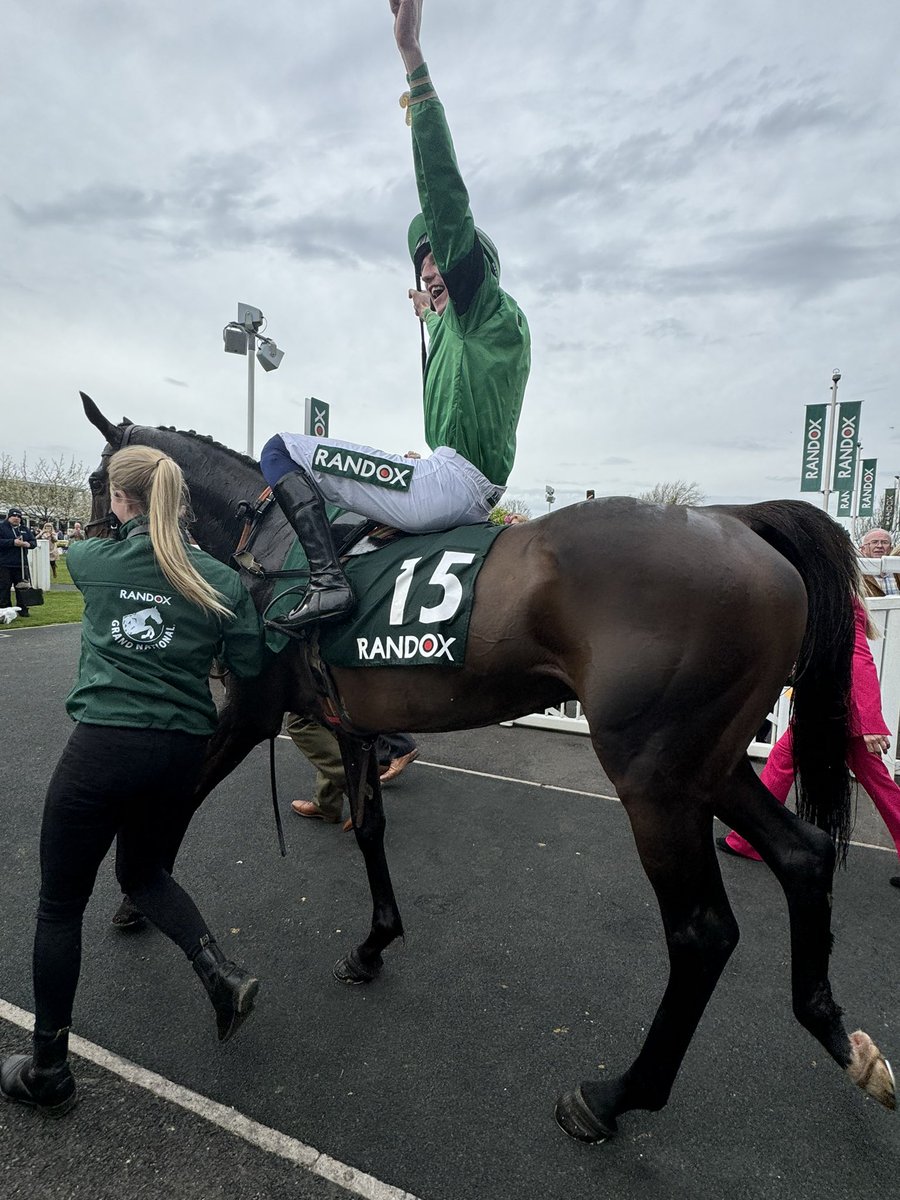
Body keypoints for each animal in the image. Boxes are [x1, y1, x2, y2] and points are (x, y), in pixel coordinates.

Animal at [82, 393, 897, 1142]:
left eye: (97, 481)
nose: (86, 547)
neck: (274, 543)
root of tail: (738, 521)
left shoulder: (250, 711)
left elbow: (185, 794)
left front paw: (135, 899)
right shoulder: (353, 721)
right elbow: (369, 826)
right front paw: (373, 945)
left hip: (655, 778)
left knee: (701, 932)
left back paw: (612, 1097)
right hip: (710, 763)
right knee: (803, 854)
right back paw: (839, 1036)